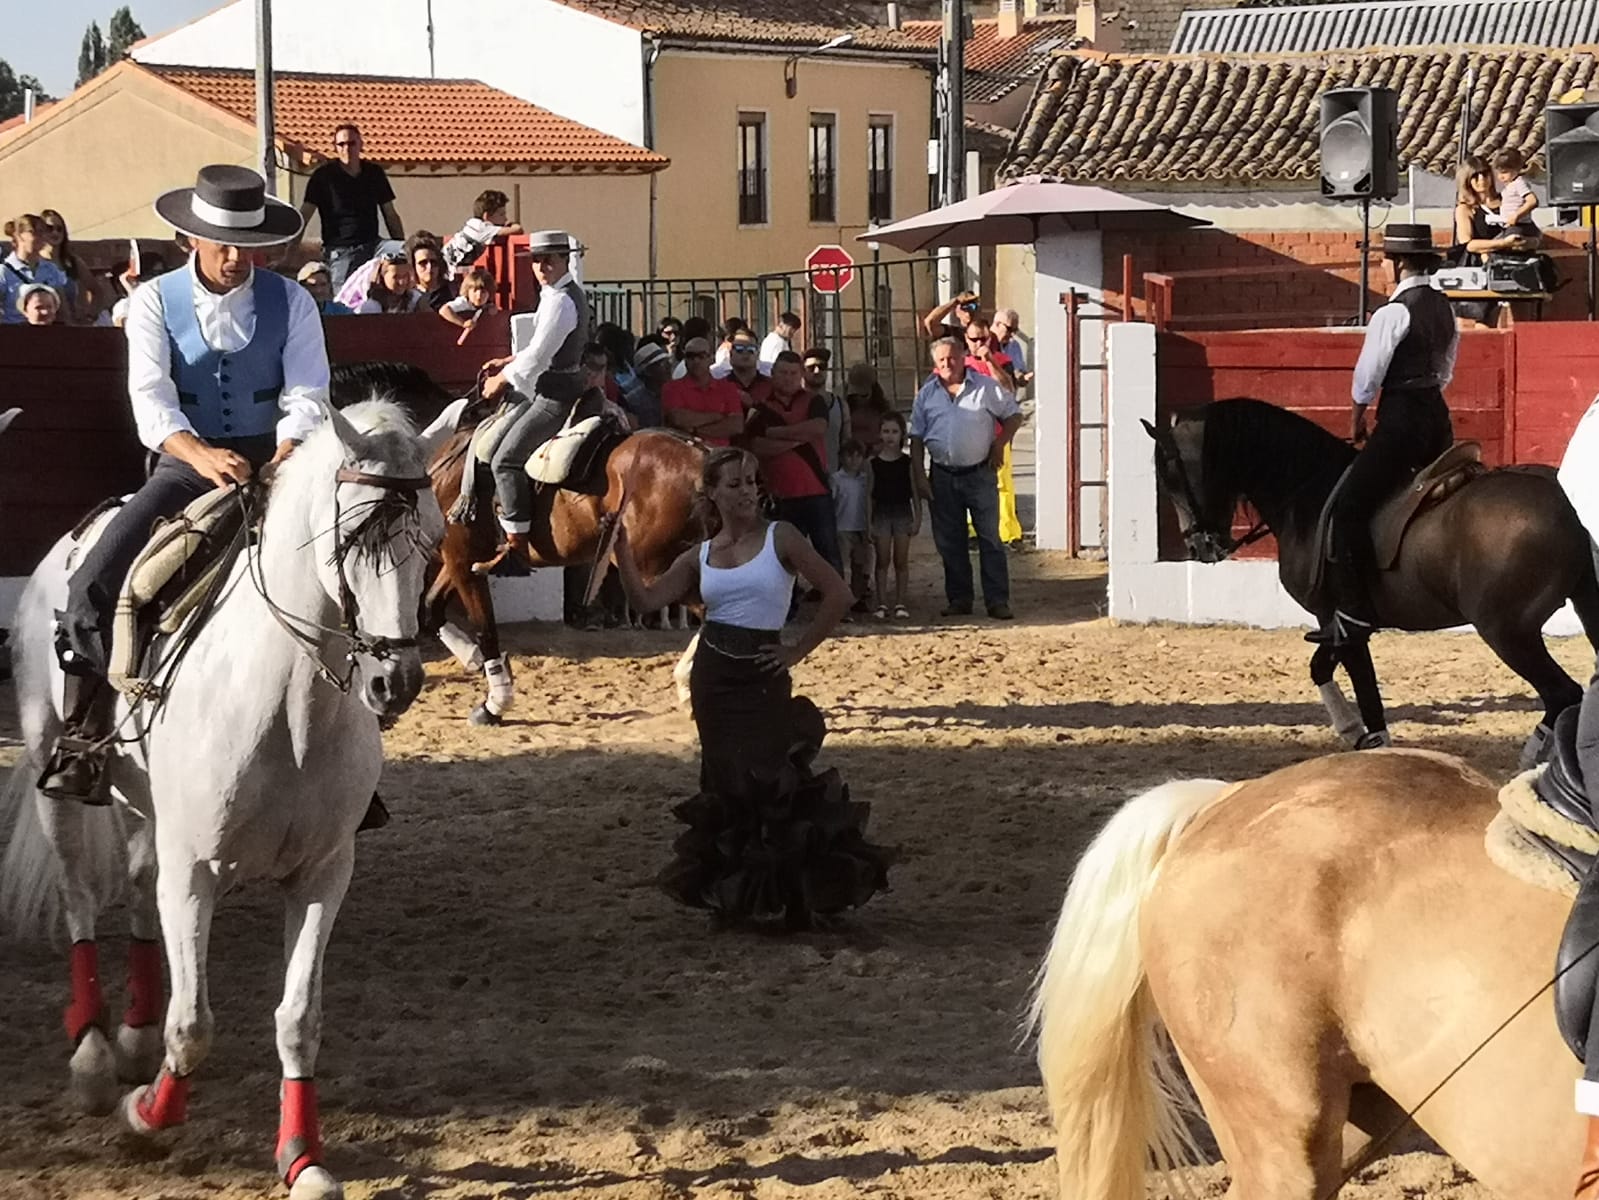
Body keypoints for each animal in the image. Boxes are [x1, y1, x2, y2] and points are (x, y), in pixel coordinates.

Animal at [0, 401, 447, 1200]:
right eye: (353, 534)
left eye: (432, 536)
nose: (393, 682)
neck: (287, 708)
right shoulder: (197, 872)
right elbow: (194, 1025)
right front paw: (146, 1119)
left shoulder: (322, 874)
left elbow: (298, 1018)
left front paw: (301, 1157)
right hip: (57, 768)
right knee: (80, 895)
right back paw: (94, 1057)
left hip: (150, 811)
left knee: (138, 888)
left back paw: (133, 1037)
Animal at [1151, 400, 1599, 764]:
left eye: (1171, 473)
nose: (1199, 546)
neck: (1308, 495)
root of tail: (1563, 497)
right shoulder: (1340, 624)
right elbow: (1327, 669)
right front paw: (1355, 733)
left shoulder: (1340, 620)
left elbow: (1356, 684)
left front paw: (1365, 739)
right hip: (1580, 608)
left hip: (1508, 631)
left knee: (1563, 695)